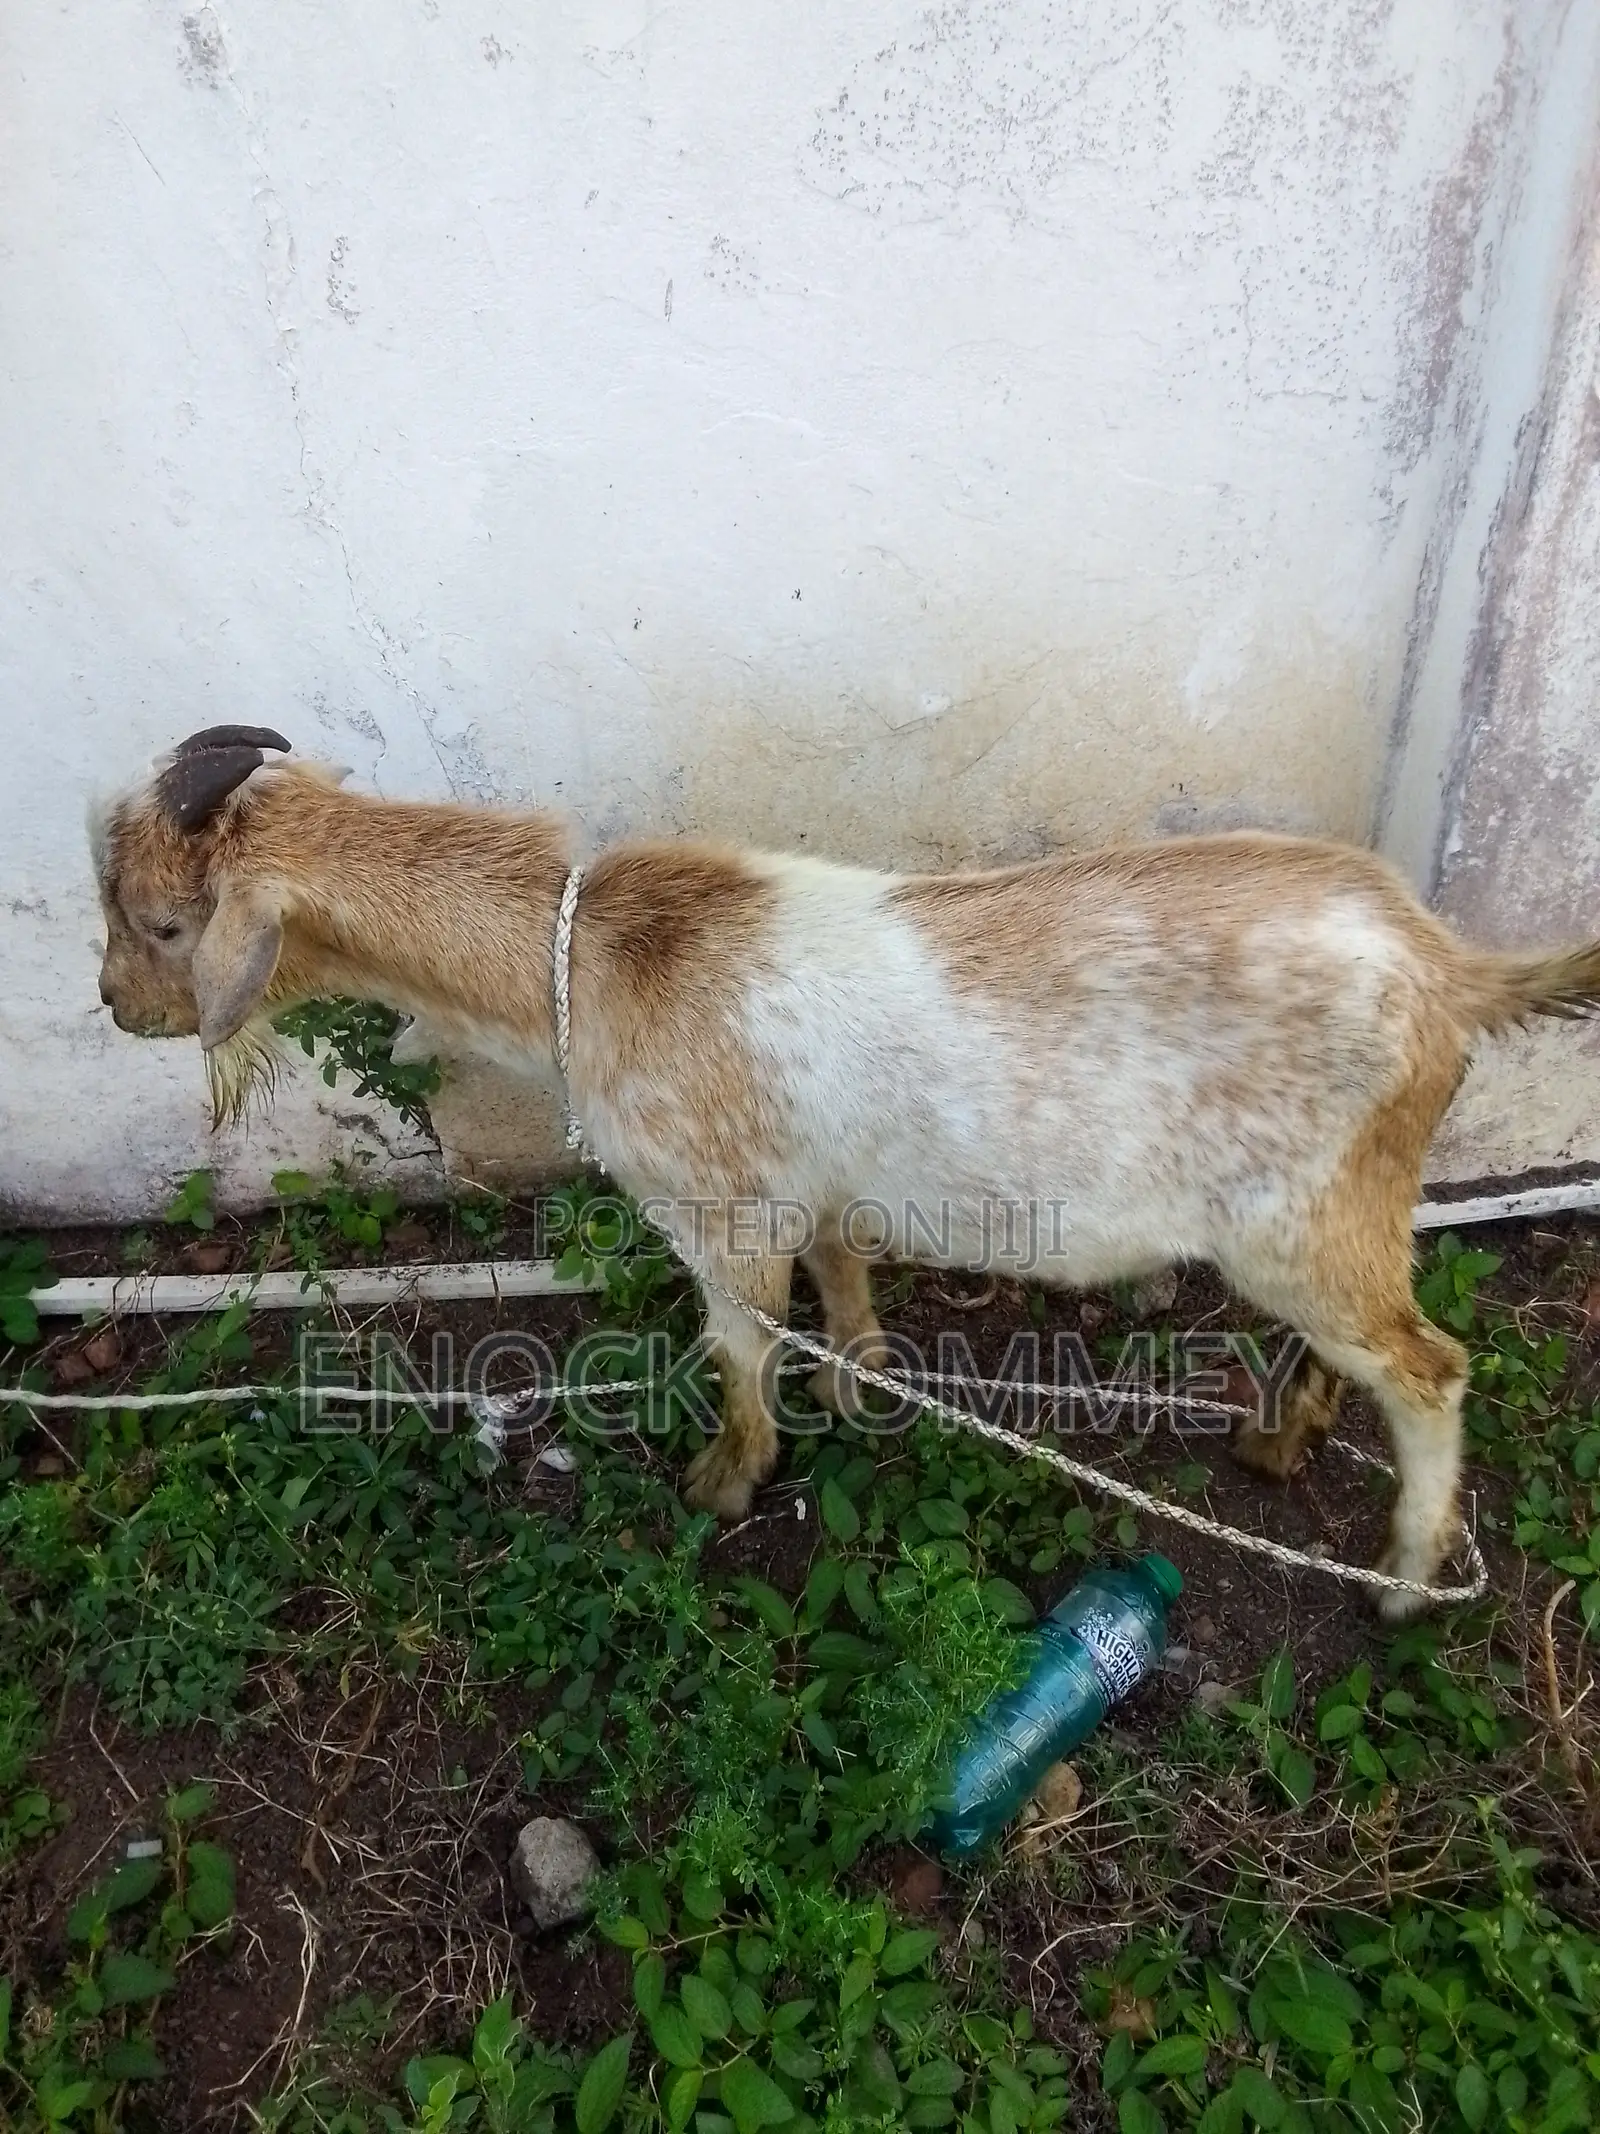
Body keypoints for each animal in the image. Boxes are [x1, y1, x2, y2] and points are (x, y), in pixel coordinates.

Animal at [92, 729, 1600, 1614]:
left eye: (164, 923)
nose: (113, 1008)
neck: (591, 960)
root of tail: (1453, 970)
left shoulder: (717, 1209)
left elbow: (740, 1338)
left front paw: (726, 1478)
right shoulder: (812, 1186)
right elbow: (841, 1281)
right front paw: (857, 1381)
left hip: (1317, 1220)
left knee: (1430, 1367)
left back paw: (1402, 1579)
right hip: (1313, 1220)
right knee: (1350, 1351)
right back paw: (1279, 1441)